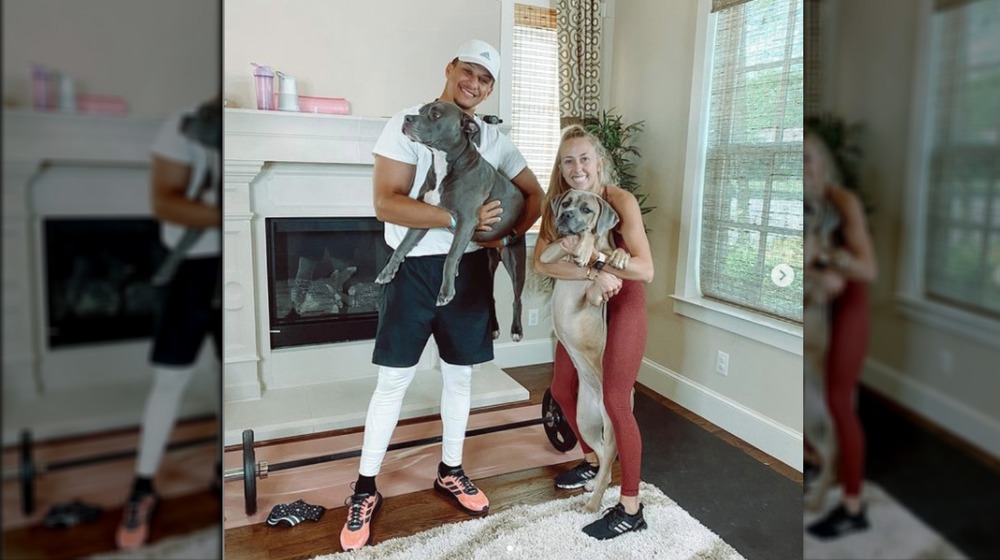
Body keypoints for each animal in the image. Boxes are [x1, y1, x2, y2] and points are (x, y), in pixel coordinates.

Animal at [376, 101, 528, 342]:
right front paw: (387, 271)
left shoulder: (466, 221)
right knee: (490, 295)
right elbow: (402, 247)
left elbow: (449, 257)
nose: (407, 119)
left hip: (515, 262)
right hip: (487, 265)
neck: (443, 164)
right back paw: (494, 326)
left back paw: (516, 330)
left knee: (517, 299)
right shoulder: (424, 215)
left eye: (435, 114)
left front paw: (446, 292)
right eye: (420, 111)